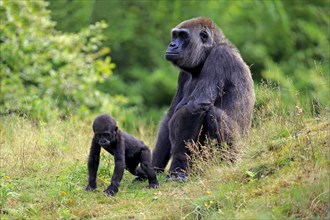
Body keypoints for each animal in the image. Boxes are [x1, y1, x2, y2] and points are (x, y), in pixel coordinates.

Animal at [152, 17, 255, 180]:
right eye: (175, 35)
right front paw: (151, 169)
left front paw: (178, 168)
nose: (172, 45)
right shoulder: (183, 74)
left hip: (239, 149)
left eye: (183, 36)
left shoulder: (219, 57)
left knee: (213, 114)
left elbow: (196, 107)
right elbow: (169, 116)